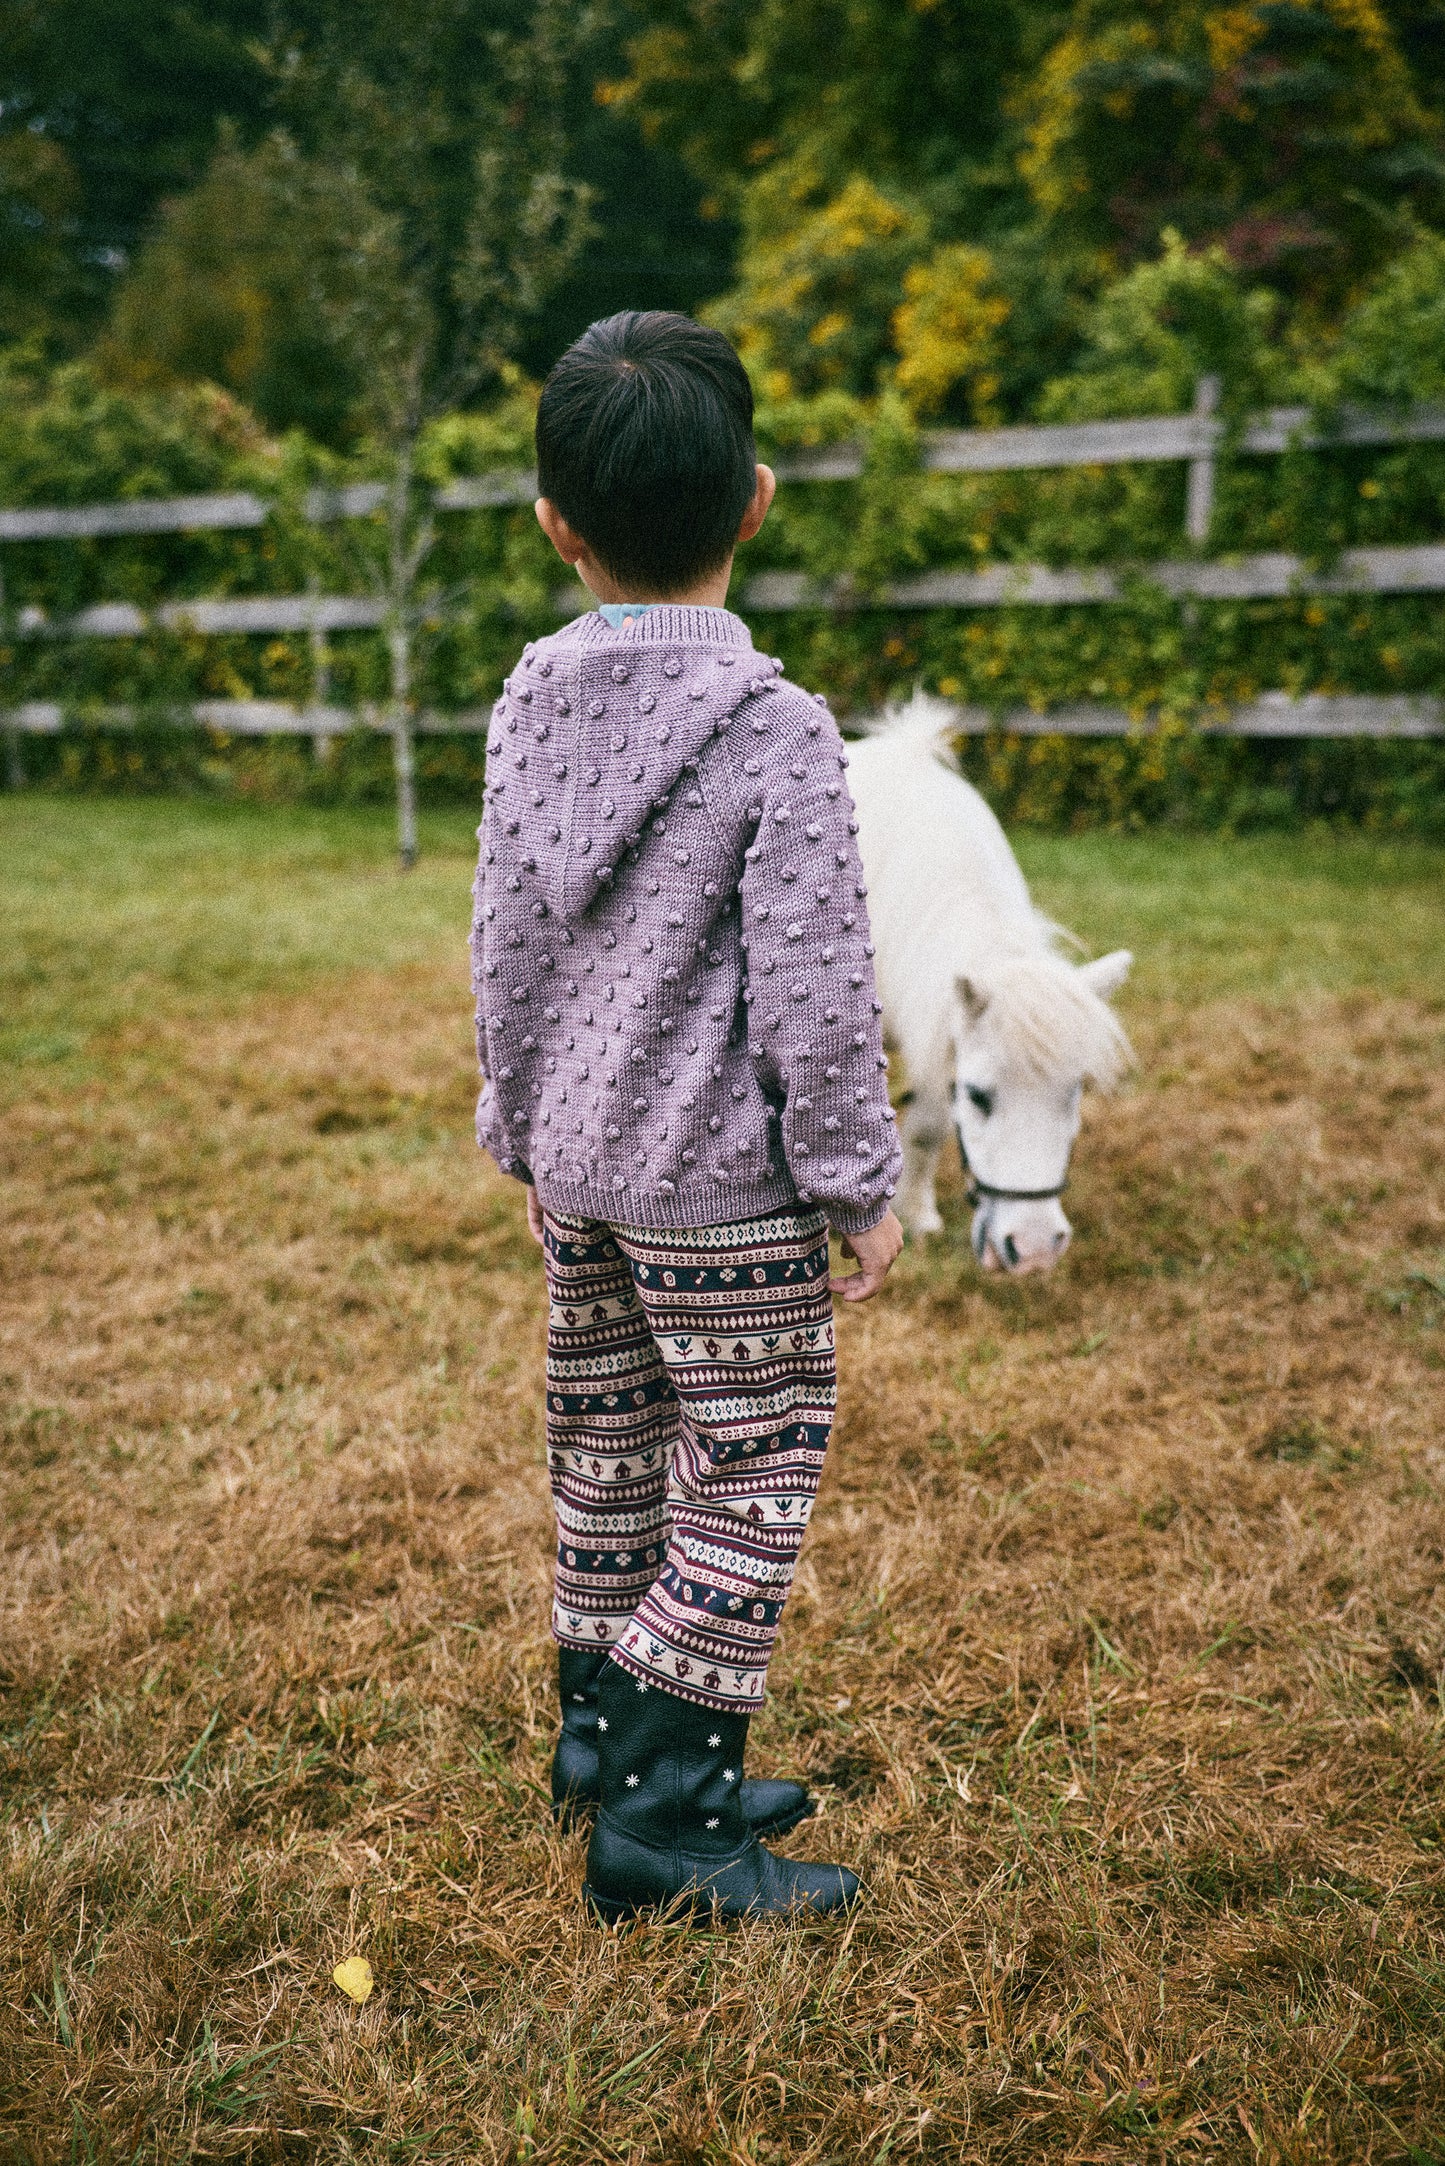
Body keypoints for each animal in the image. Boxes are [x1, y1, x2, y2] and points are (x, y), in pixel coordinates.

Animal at [853, 693, 1135, 1264]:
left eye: (1073, 1093)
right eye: (980, 1097)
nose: (1035, 1249)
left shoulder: (938, 1036)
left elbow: (928, 1126)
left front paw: (917, 1213)